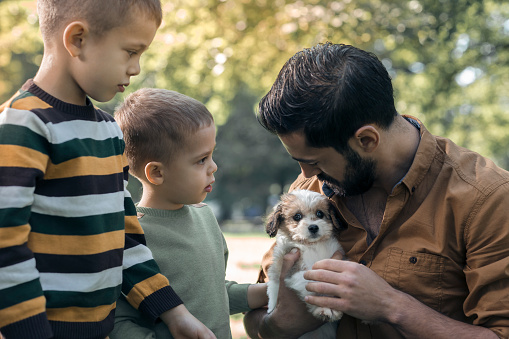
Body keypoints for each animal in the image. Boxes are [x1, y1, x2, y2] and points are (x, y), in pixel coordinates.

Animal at [264, 190, 344, 338]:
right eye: (297, 216)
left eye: (320, 213)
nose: (313, 227)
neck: (311, 246)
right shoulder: (294, 272)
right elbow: (313, 283)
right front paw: (322, 308)